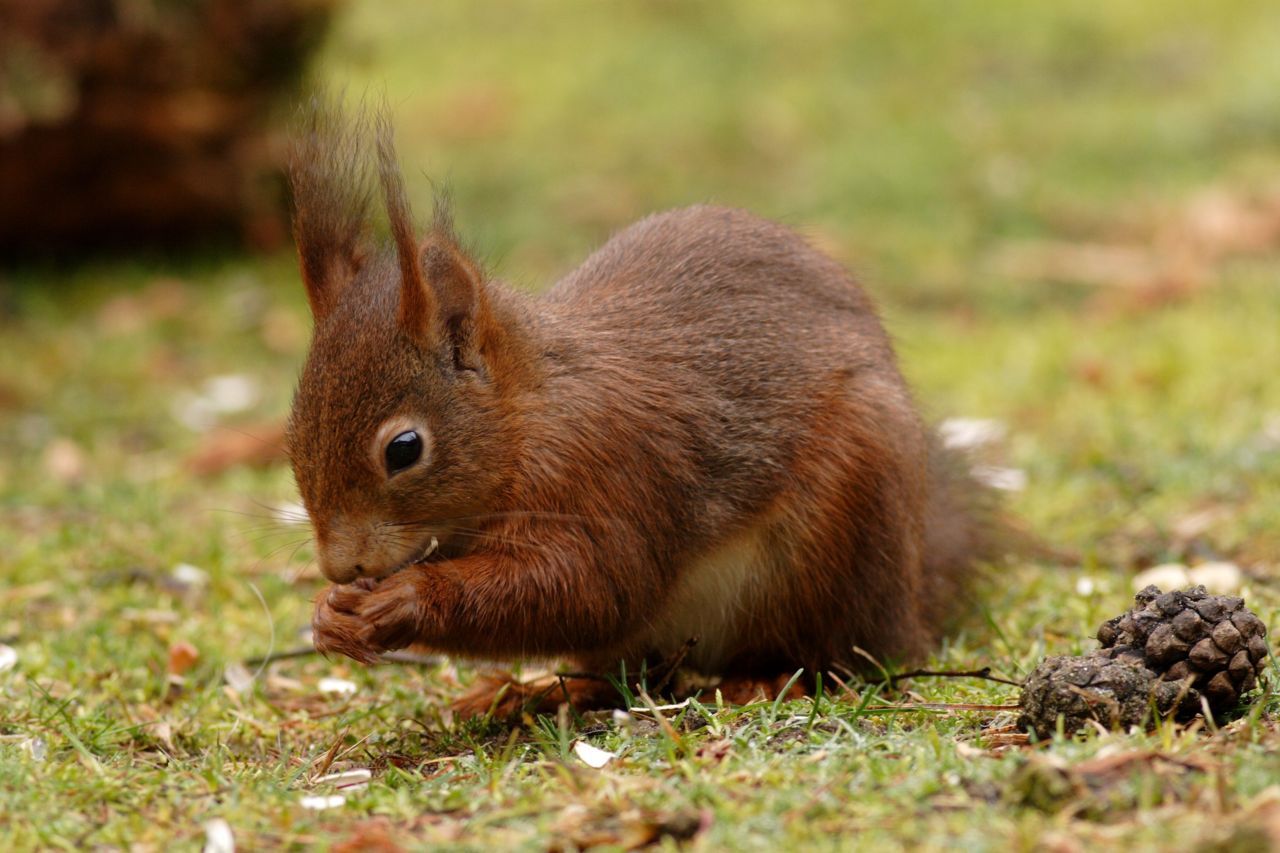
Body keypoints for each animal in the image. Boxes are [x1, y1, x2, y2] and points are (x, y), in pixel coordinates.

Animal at [290, 99, 1008, 706]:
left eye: (404, 449)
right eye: (293, 437)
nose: (340, 565)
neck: (529, 416)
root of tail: (911, 594)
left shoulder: (606, 473)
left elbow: (590, 585)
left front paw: (403, 598)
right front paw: (330, 616)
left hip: (838, 531)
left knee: (839, 649)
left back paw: (768, 677)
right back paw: (534, 692)